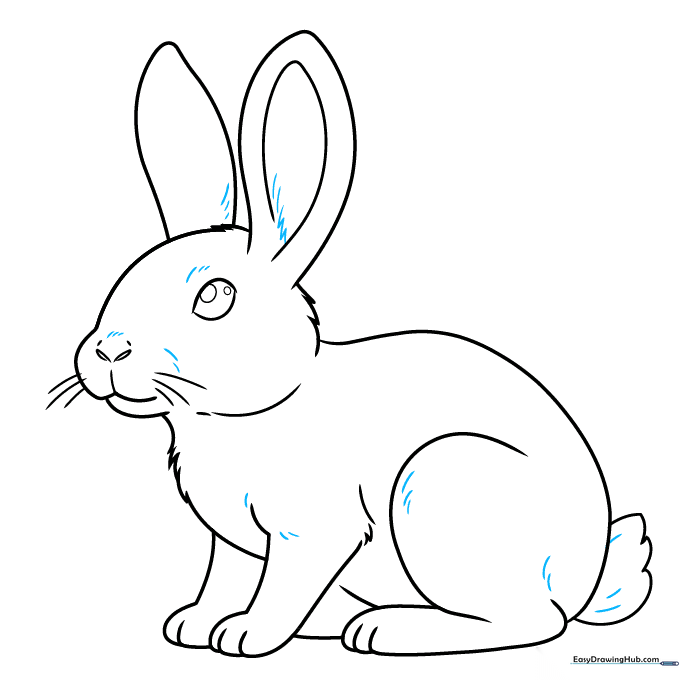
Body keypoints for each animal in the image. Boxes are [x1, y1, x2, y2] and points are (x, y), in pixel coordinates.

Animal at [49, 31, 652, 657]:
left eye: (214, 296)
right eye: (126, 278)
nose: (107, 351)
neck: (240, 417)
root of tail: (585, 577)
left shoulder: (310, 530)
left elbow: (282, 586)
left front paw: (244, 636)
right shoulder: (231, 543)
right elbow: (223, 577)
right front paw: (192, 625)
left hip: (439, 488)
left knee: (532, 622)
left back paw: (383, 629)